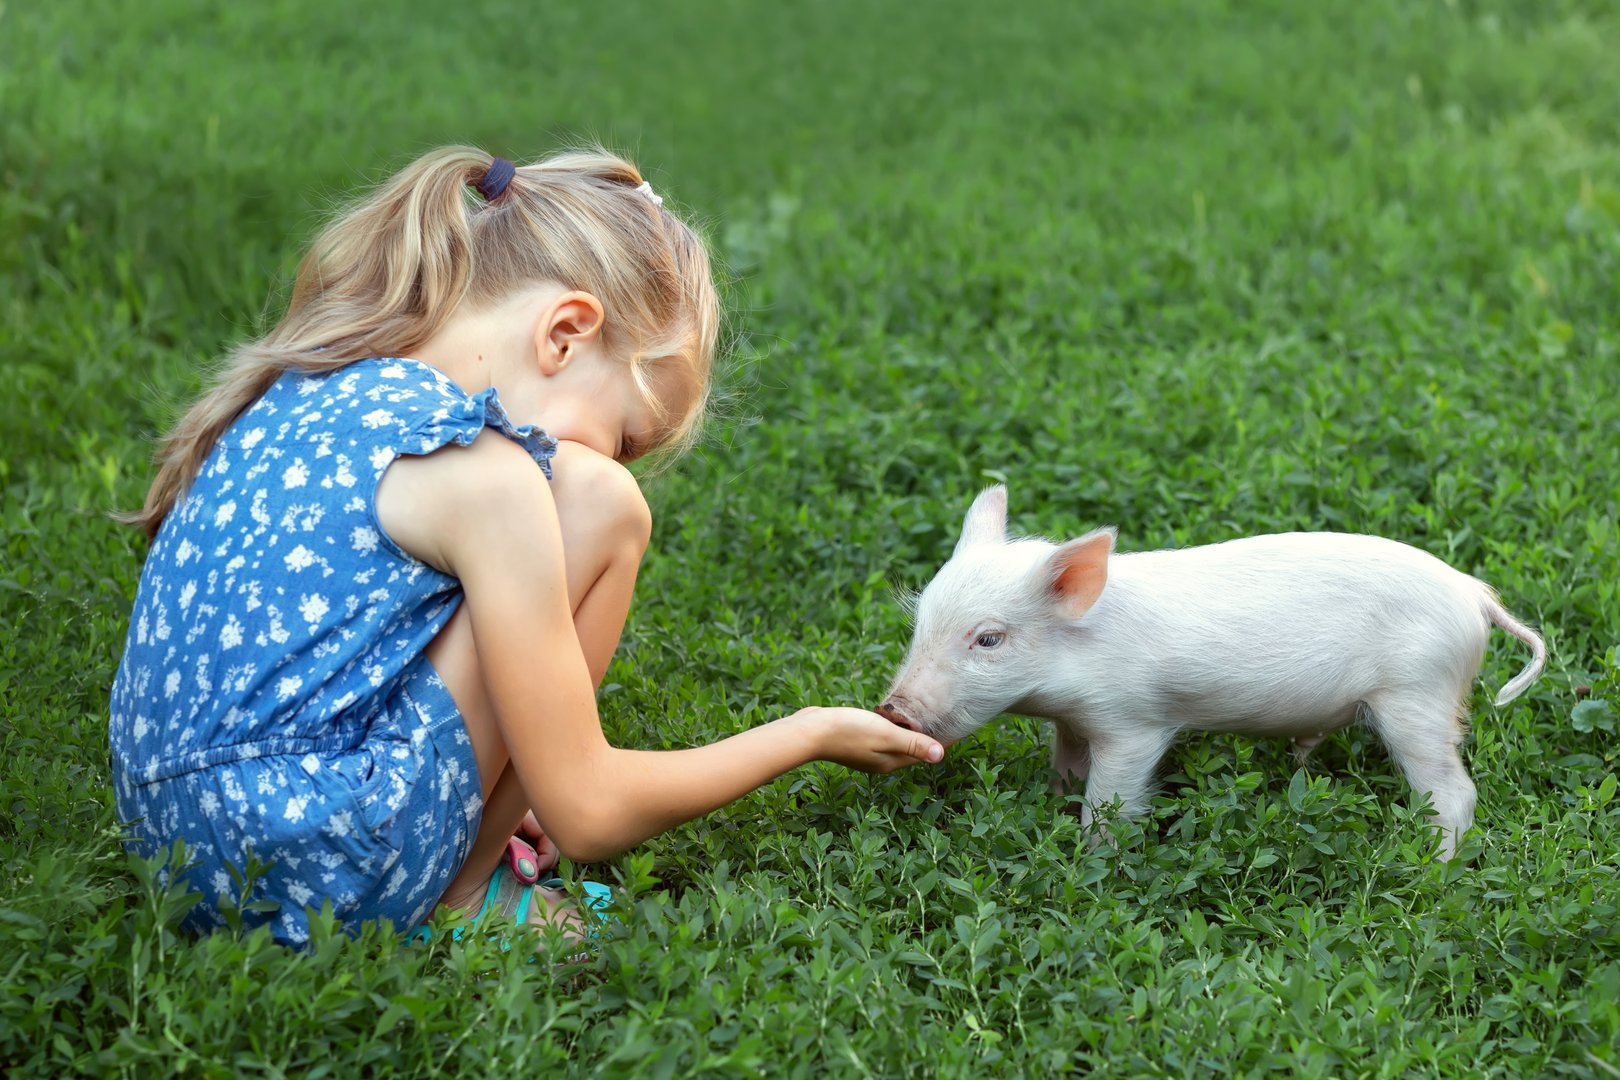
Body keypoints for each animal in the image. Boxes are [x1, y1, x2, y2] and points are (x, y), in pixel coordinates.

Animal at [878, 486, 1547, 860]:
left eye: (988, 639)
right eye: (922, 619)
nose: (892, 709)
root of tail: (1474, 595)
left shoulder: (1133, 723)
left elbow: (1110, 800)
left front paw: (1094, 862)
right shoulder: (1071, 723)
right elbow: (1065, 771)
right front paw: (1054, 806)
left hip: (1418, 693)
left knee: (1454, 792)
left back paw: (1429, 868)